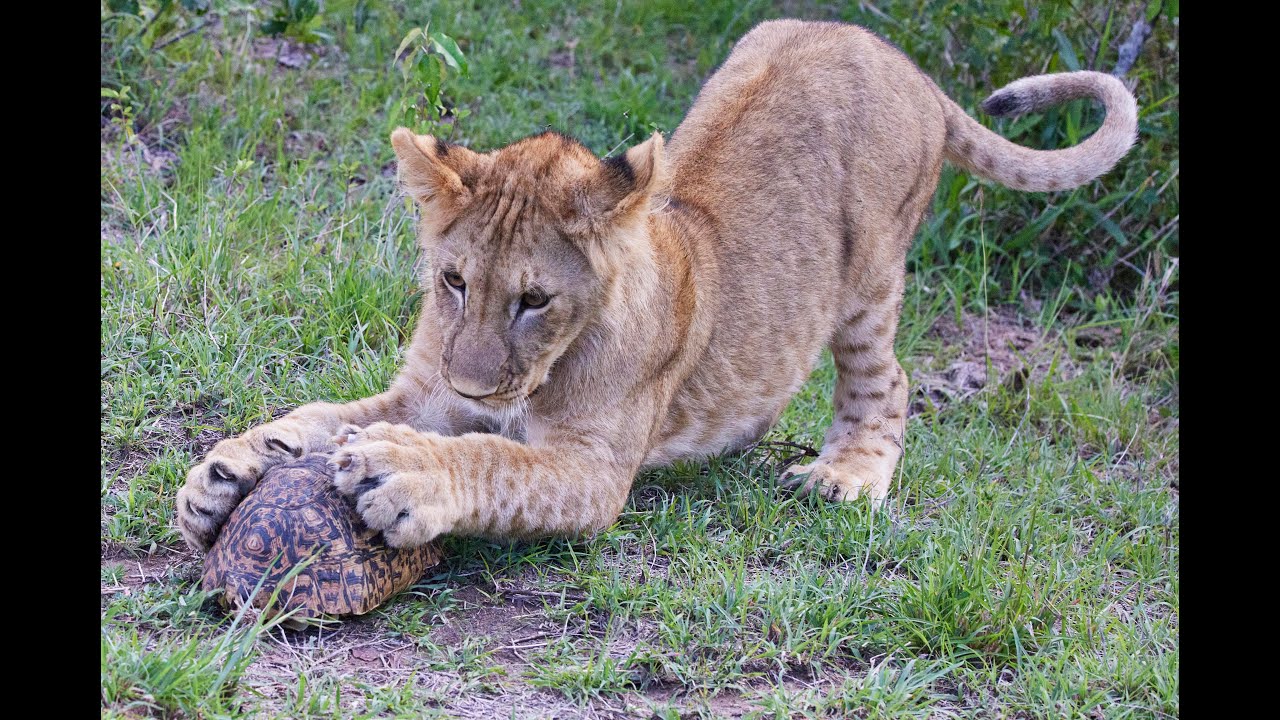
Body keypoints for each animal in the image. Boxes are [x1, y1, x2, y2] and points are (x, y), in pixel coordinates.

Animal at [177, 19, 1137, 552]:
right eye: (452, 281)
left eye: (535, 300)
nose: (474, 386)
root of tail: (911, 67)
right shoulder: (423, 390)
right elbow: (320, 415)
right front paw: (225, 469)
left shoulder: (593, 471)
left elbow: (492, 457)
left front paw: (406, 471)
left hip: (870, 277)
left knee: (890, 380)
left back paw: (846, 476)